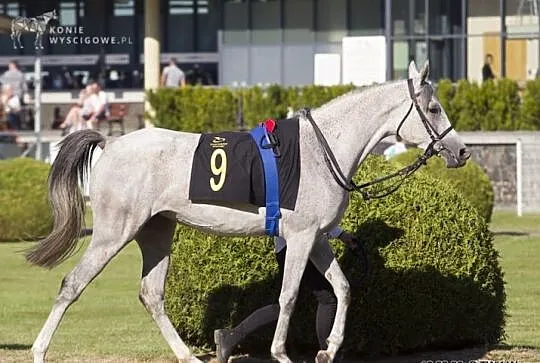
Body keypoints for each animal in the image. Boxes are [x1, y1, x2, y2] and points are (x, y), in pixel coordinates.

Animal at [26, 61, 468, 362]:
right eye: (433, 109)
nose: (462, 151)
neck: (321, 149)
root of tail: (111, 144)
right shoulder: (301, 237)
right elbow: (289, 295)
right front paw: (282, 352)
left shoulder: (316, 238)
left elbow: (341, 287)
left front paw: (329, 349)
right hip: (113, 233)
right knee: (72, 284)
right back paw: (39, 351)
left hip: (157, 231)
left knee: (151, 294)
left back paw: (188, 355)